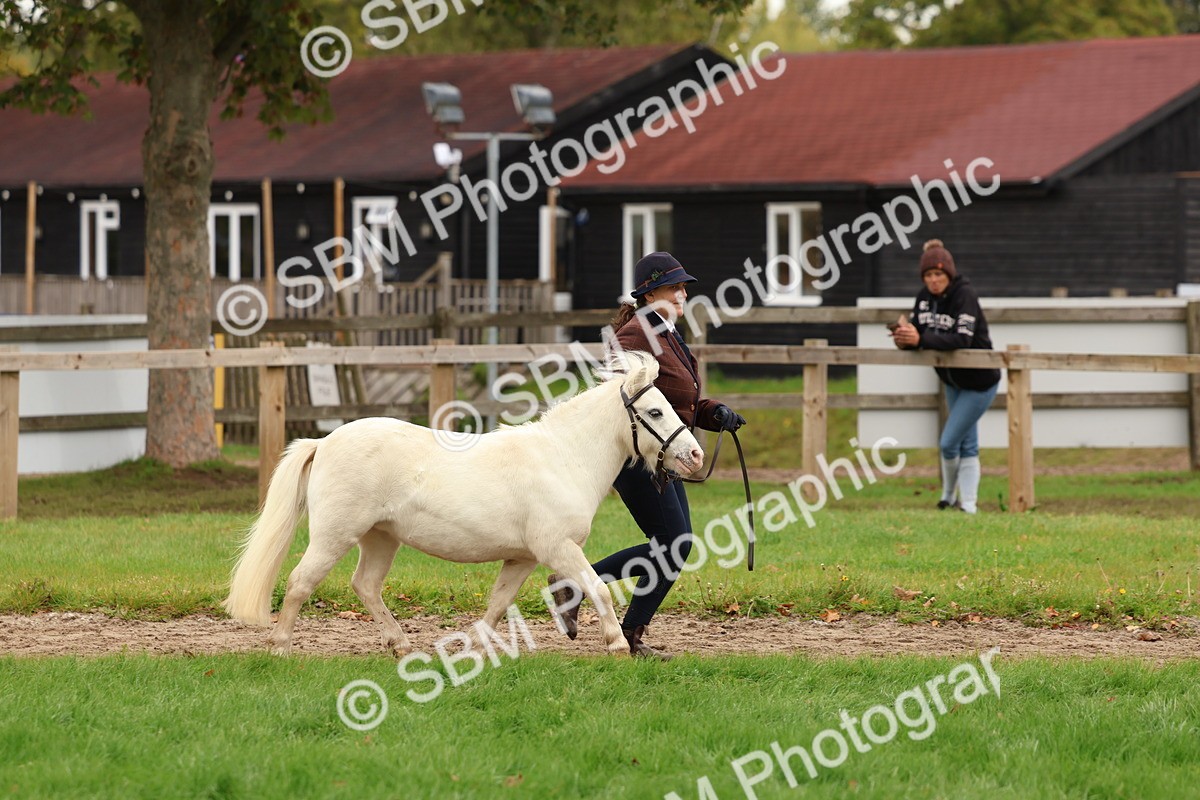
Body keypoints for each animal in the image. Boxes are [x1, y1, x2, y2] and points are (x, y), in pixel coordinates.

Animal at [223, 352, 705, 657]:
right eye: (656, 412)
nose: (696, 456)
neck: (563, 458)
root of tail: (323, 442)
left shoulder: (523, 558)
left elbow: (498, 603)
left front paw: (473, 646)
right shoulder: (559, 548)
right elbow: (599, 588)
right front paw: (618, 645)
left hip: (380, 539)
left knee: (366, 585)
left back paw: (401, 645)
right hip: (334, 535)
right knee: (301, 582)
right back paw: (280, 647)